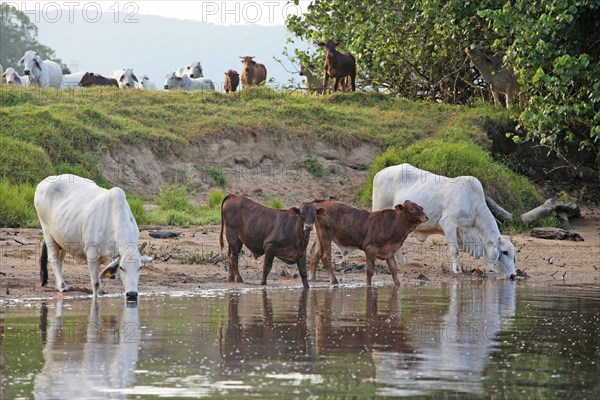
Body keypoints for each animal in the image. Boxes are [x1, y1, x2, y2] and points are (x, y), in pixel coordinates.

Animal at [34, 173, 152, 302]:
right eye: (121, 268)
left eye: (140, 267)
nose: (132, 294)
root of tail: (45, 181)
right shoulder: (92, 255)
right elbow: (95, 283)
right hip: (47, 231)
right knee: (54, 258)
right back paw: (62, 286)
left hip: (62, 238)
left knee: (60, 260)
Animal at [370, 162, 516, 278]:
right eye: (504, 252)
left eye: (513, 253)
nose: (513, 276)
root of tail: (379, 173)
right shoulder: (448, 224)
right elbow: (454, 250)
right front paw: (456, 270)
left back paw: (401, 262)